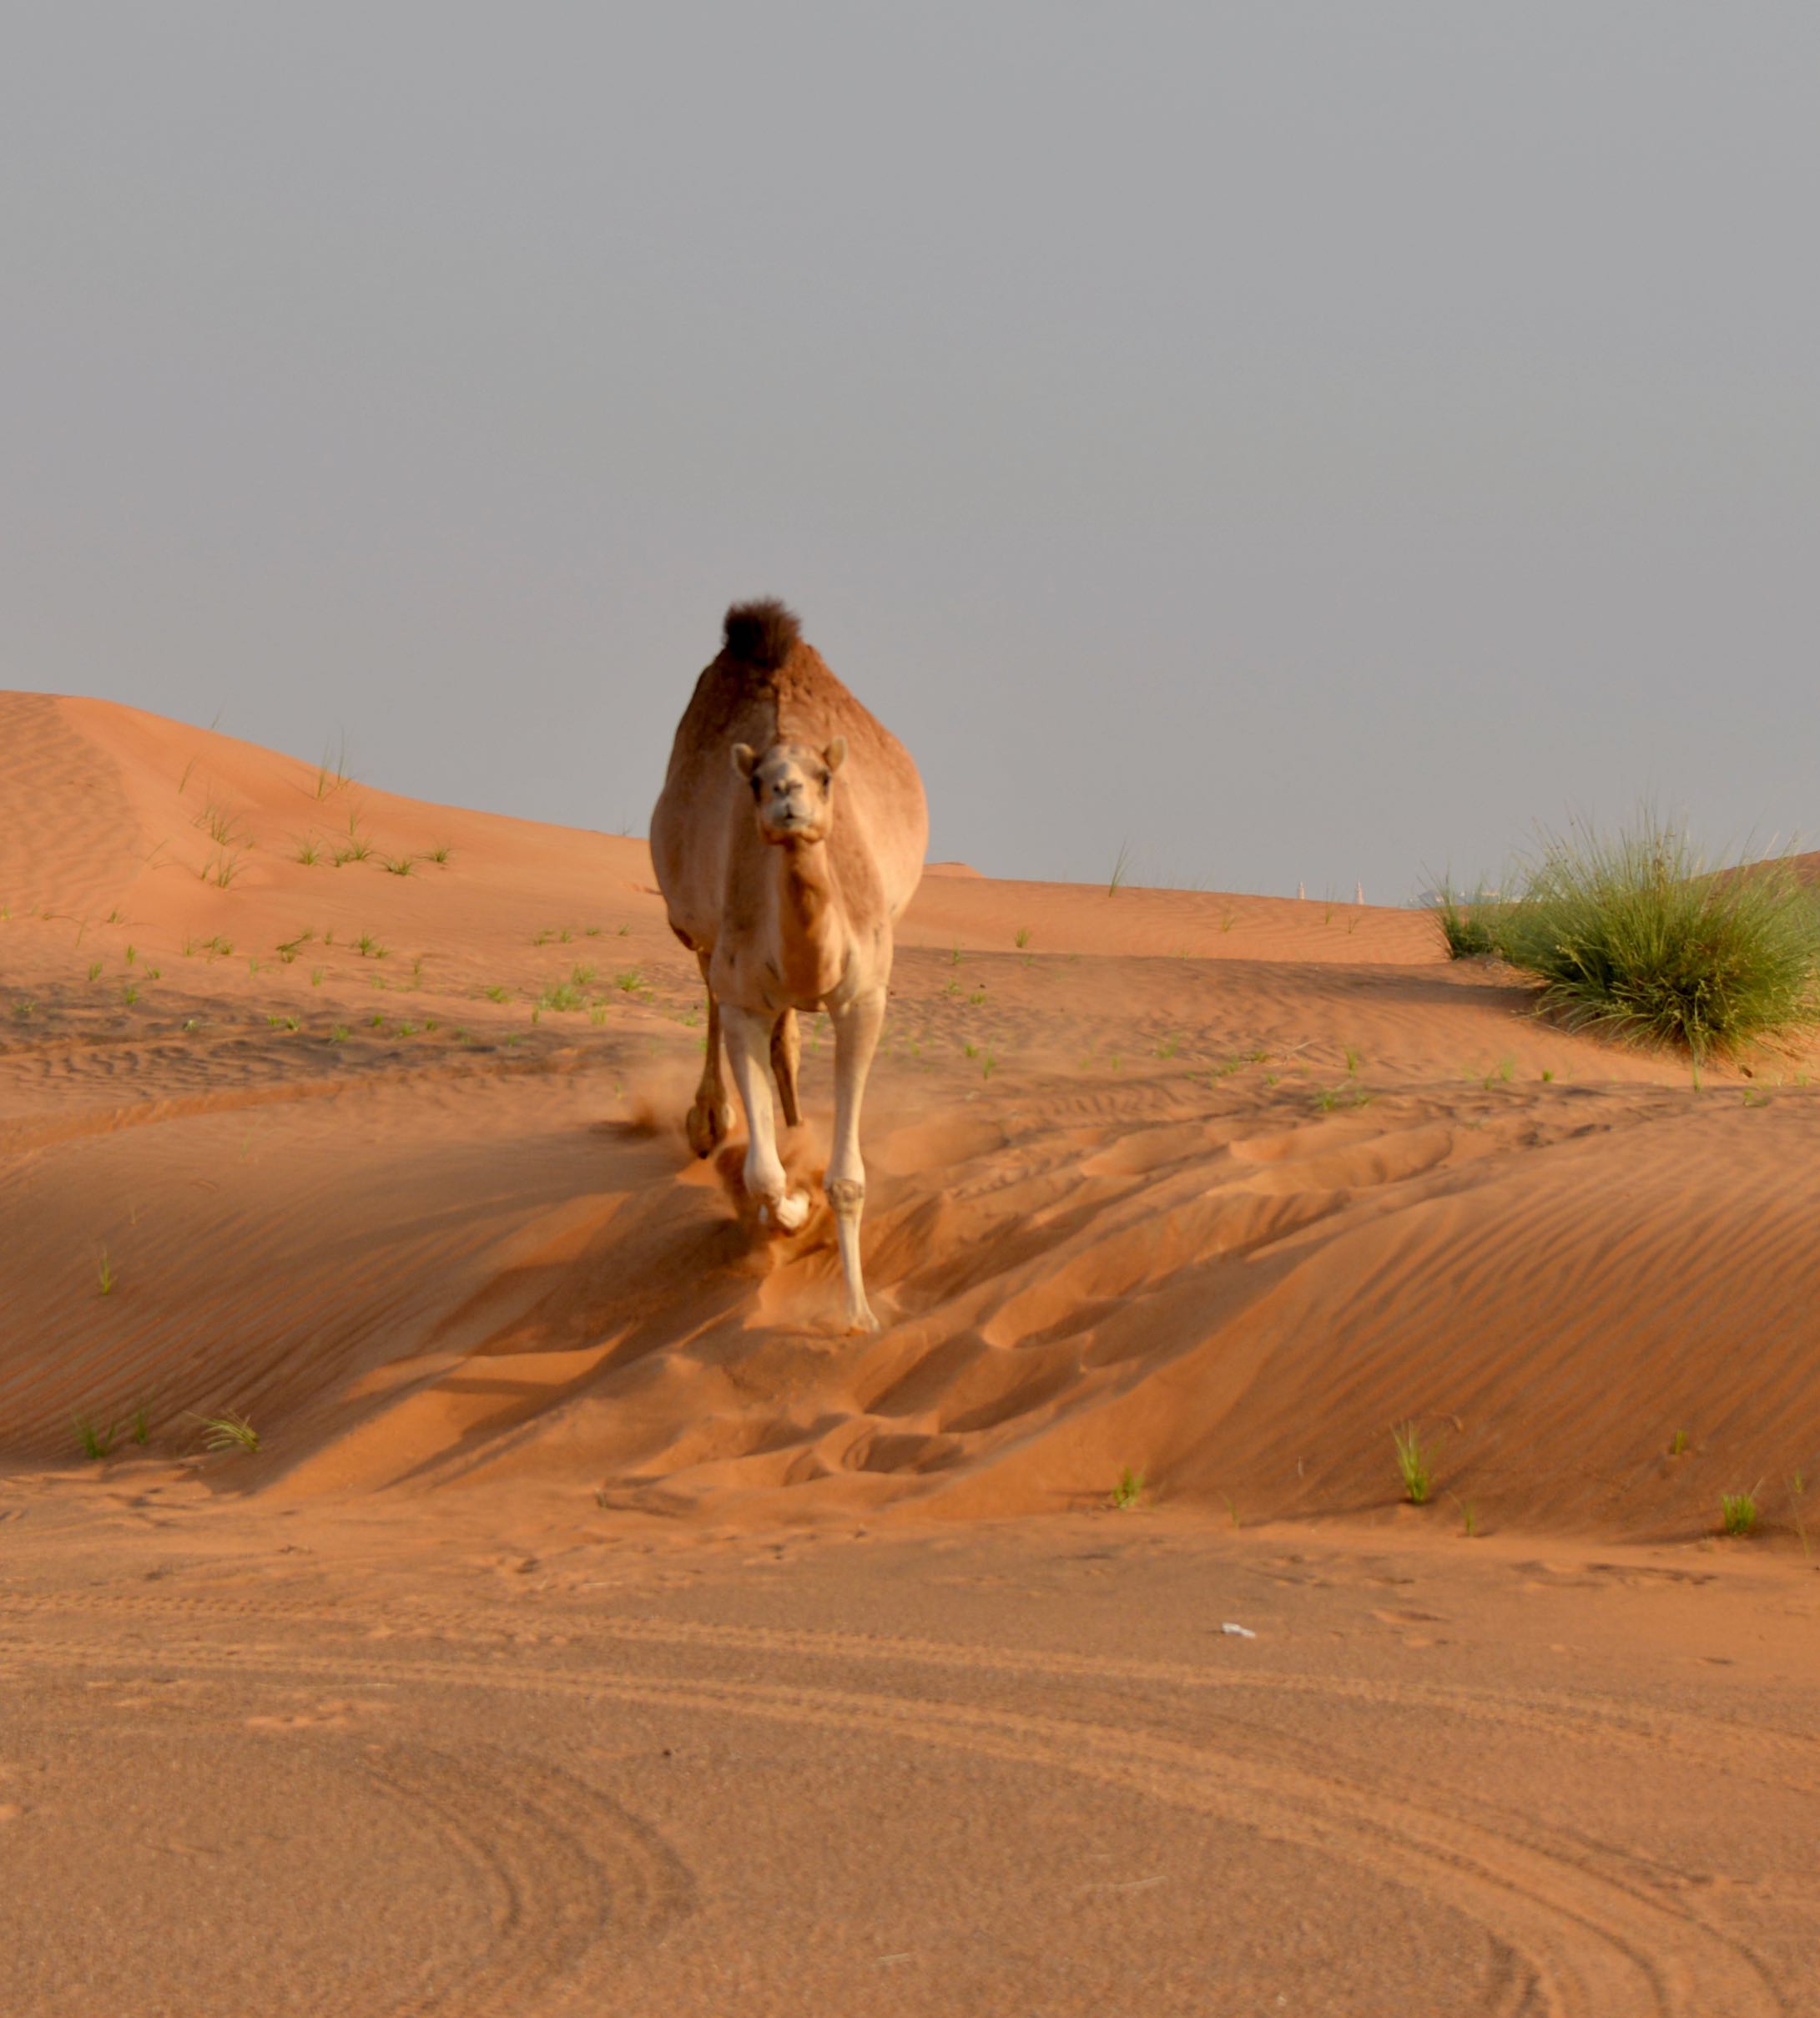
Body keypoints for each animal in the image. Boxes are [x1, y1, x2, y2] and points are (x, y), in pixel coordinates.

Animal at [650, 600, 929, 1331]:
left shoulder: (864, 997)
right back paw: (709, 1121)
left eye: (825, 778)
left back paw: (798, 1124)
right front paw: (793, 1206)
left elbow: (850, 1179)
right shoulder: (745, 990)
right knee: (712, 993)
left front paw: (858, 1314)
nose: (786, 798)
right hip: (695, 928)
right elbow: (763, 1174)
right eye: (753, 783)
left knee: (790, 1042)